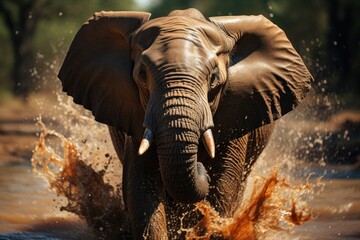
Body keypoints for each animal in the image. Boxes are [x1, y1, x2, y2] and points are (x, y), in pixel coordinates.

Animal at [58, 8, 312, 239]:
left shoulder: (239, 111)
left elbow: (222, 190)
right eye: (142, 75)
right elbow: (141, 189)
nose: (201, 167)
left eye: (214, 78)